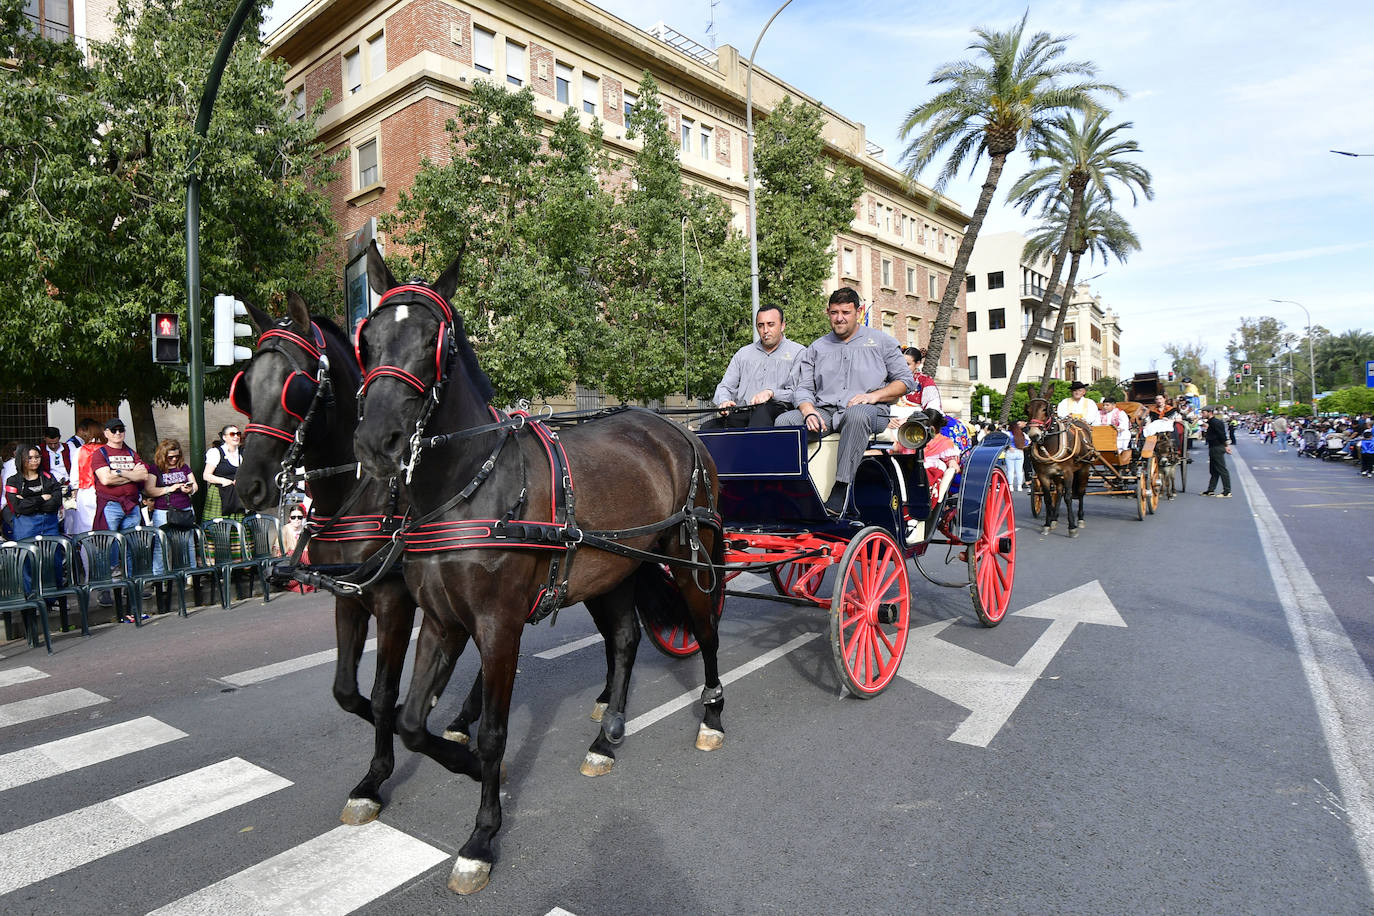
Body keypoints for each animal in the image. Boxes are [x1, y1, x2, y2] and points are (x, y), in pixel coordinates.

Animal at [348, 243, 725, 895]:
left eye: (432, 341)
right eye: (366, 340)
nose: (378, 442)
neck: (470, 486)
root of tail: (678, 429)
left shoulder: (498, 626)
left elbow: (494, 733)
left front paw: (481, 834)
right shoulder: (441, 621)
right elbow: (412, 720)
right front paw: (466, 765)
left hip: (687, 558)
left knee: (704, 631)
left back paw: (712, 714)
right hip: (613, 571)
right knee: (625, 639)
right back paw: (607, 734)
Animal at [1033, 398, 1093, 538]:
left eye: (1045, 410)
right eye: (1027, 409)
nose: (1034, 435)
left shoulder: (1068, 473)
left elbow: (1068, 497)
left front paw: (1072, 527)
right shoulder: (1043, 475)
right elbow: (1048, 498)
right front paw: (1047, 524)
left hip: (1084, 469)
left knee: (1081, 492)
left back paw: (1080, 518)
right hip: (1057, 475)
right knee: (1059, 492)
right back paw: (1054, 518)